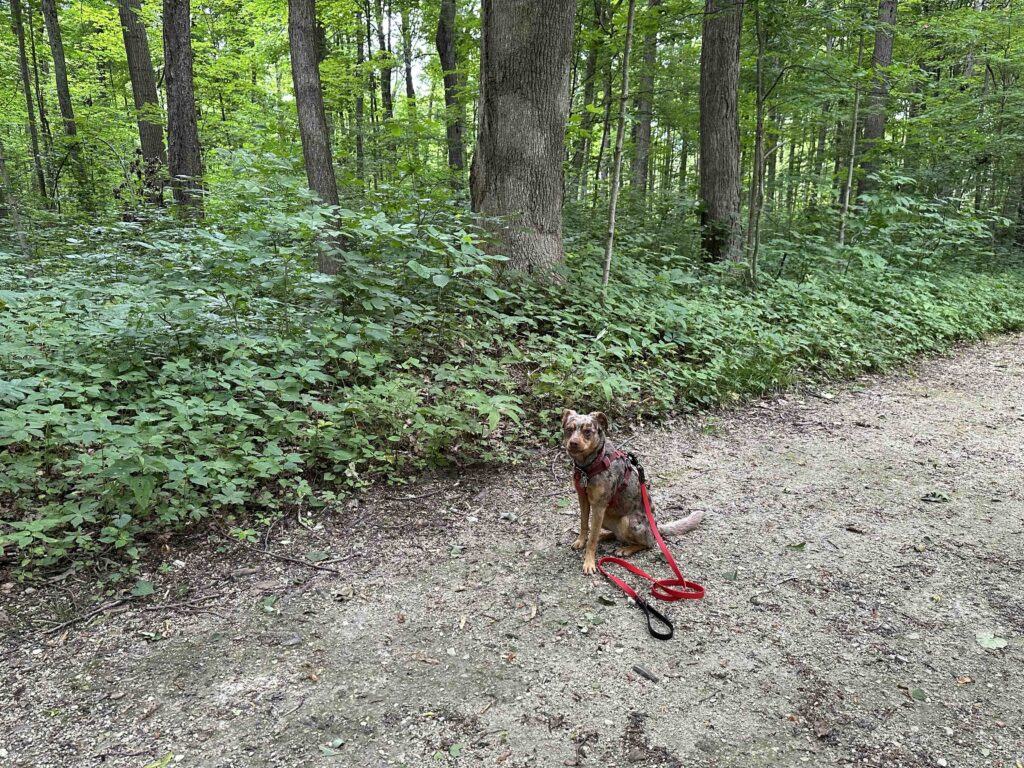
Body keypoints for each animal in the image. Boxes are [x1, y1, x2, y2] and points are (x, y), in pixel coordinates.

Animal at [561, 411, 704, 573]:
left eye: (587, 432)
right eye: (569, 429)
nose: (573, 443)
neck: (589, 466)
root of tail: (655, 527)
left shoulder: (599, 505)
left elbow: (592, 540)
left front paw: (589, 562)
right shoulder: (583, 499)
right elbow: (584, 524)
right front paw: (581, 540)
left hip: (627, 521)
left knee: (647, 544)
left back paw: (626, 549)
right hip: (606, 517)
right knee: (614, 534)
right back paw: (604, 535)